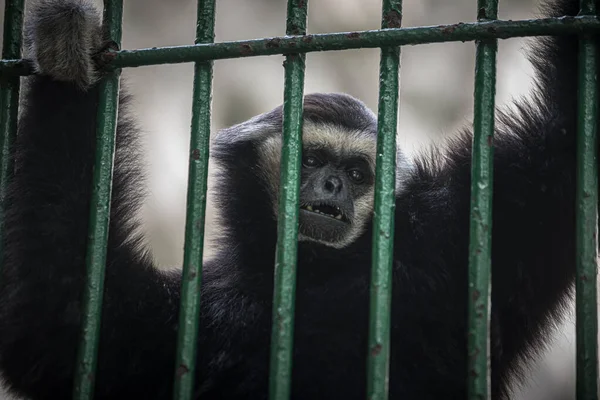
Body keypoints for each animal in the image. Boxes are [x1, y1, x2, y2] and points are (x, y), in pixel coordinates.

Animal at [0, 0, 592, 398]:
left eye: (356, 172)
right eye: (310, 161)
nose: (332, 186)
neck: (314, 275)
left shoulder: (461, 237)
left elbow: (562, 145)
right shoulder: (197, 312)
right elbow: (62, 321)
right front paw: (66, 48)